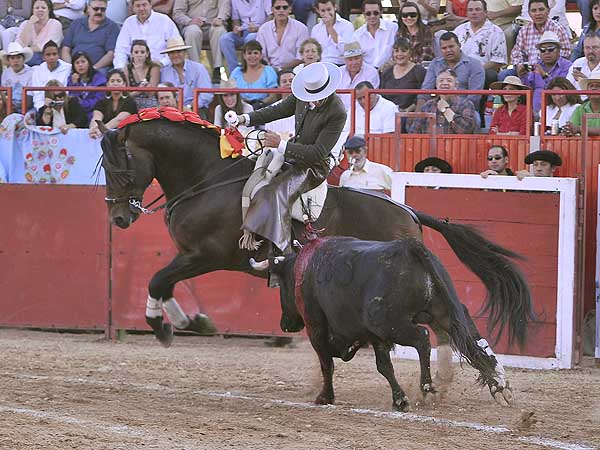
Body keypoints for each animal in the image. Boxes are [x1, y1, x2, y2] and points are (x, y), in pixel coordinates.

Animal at [258, 239, 502, 412]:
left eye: (281, 285)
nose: (285, 324)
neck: (306, 267)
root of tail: (409, 248)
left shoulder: (316, 327)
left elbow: (327, 363)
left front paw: (325, 397)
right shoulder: (375, 336)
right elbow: (384, 365)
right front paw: (399, 400)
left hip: (390, 324)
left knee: (422, 337)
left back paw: (427, 387)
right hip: (443, 312)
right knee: (470, 342)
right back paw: (498, 384)